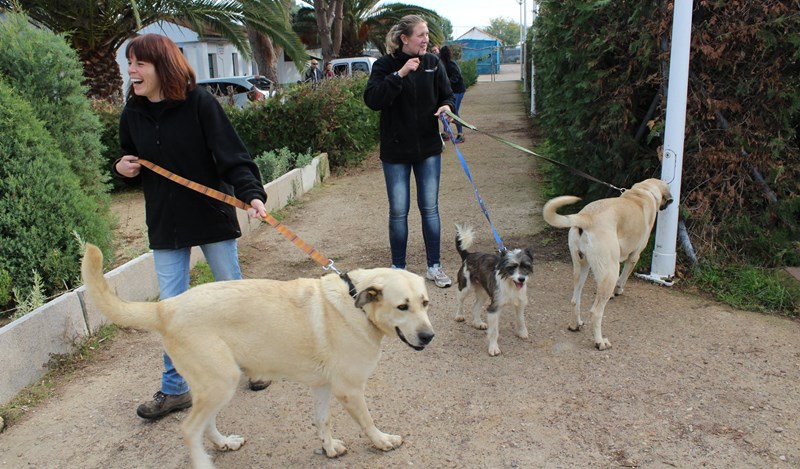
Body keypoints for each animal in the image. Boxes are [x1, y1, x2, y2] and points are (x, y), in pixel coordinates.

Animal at [79, 243, 438, 468]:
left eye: (425, 303)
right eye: (402, 306)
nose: (429, 336)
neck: (357, 304)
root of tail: (166, 306)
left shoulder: (323, 387)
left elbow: (323, 420)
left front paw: (329, 448)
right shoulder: (349, 390)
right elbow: (367, 421)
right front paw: (382, 441)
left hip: (214, 385)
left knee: (203, 424)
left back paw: (223, 443)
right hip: (221, 382)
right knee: (188, 429)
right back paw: (204, 461)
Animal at [456, 224, 532, 354]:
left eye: (525, 266)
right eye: (512, 267)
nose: (521, 279)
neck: (510, 284)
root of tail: (469, 255)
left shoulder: (520, 303)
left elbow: (520, 319)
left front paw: (522, 332)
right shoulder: (494, 308)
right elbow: (494, 331)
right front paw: (493, 347)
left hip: (483, 293)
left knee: (475, 307)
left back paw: (478, 323)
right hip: (465, 288)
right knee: (460, 301)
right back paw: (459, 315)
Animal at [540, 177, 672, 350]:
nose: (670, 202)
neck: (643, 192)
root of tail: (586, 217)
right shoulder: (634, 256)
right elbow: (623, 278)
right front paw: (619, 290)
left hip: (581, 268)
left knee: (575, 300)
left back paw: (575, 325)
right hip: (610, 272)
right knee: (596, 311)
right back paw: (599, 341)